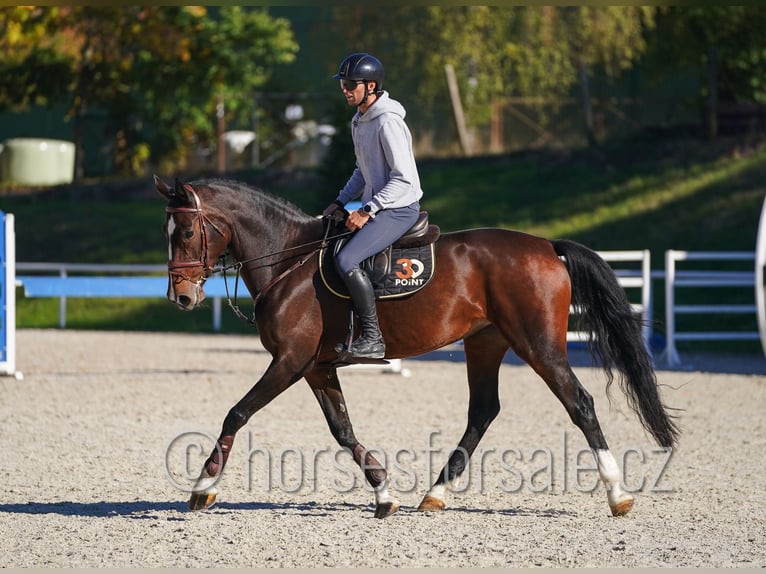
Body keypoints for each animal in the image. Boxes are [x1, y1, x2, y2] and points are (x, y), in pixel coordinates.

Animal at [154, 174, 679, 519]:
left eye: (186, 232)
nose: (181, 297)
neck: (289, 260)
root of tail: (547, 246)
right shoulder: (317, 368)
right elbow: (343, 431)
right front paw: (384, 494)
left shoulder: (290, 361)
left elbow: (237, 413)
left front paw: (203, 485)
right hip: (485, 343)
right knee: (483, 412)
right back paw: (435, 494)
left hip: (539, 345)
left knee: (580, 403)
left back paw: (618, 495)